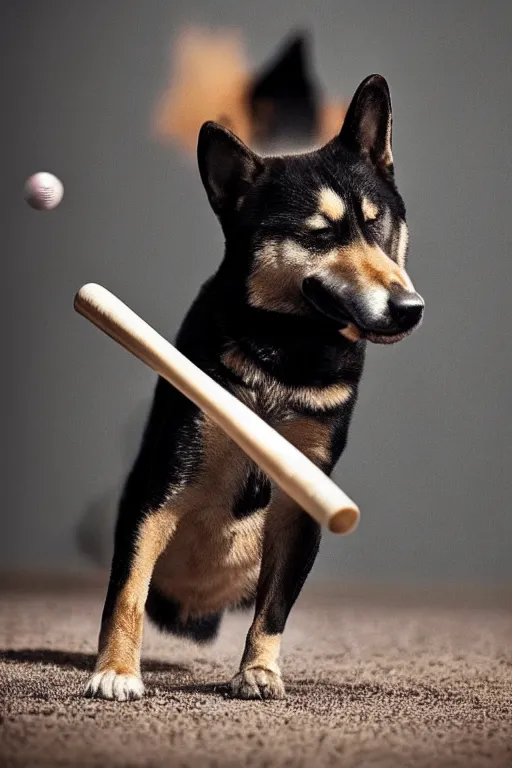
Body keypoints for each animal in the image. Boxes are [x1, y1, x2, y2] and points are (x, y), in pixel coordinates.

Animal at [86, 73, 424, 704]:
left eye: (376, 223)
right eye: (320, 234)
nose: (409, 308)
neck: (286, 352)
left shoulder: (302, 504)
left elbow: (274, 608)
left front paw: (259, 670)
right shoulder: (164, 487)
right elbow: (127, 593)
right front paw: (116, 670)